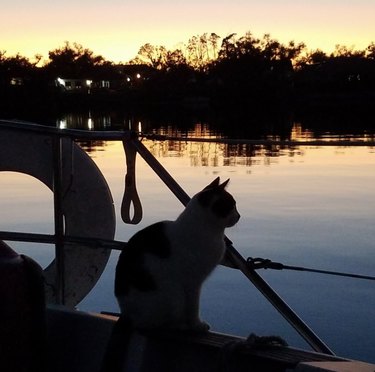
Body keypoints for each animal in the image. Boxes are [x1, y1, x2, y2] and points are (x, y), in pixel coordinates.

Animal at [100, 179, 241, 370]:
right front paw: (197, 325)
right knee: (154, 324)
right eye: (230, 206)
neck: (211, 233)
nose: (239, 216)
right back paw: (181, 326)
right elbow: (193, 308)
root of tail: (126, 313)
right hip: (174, 294)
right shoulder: (193, 283)